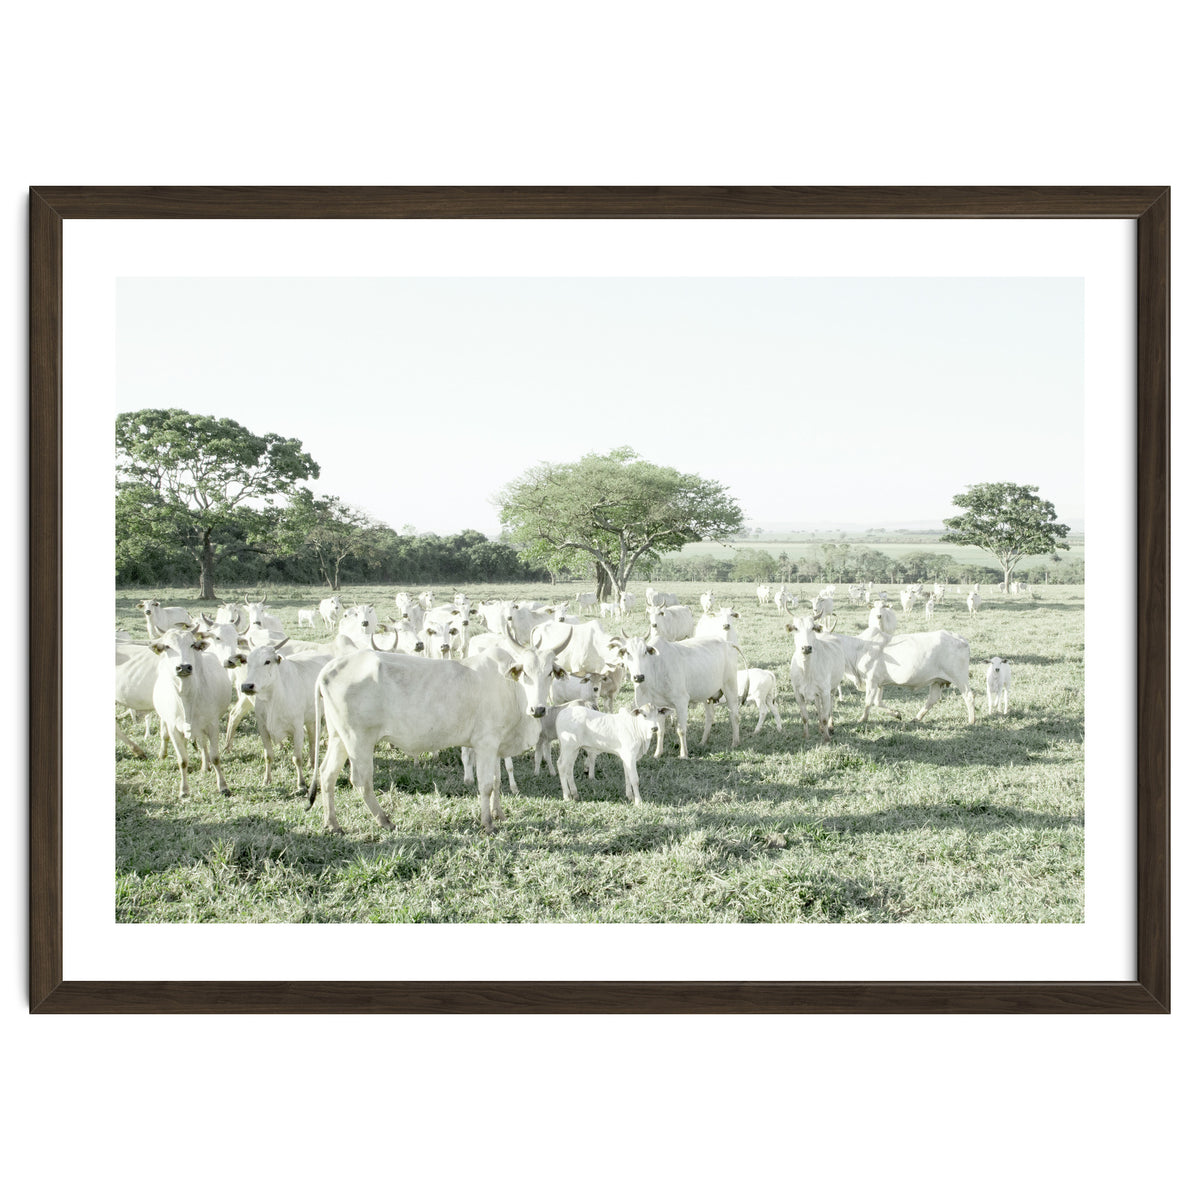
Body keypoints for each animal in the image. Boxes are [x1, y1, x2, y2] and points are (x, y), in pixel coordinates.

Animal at [149, 625, 233, 798]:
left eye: (192, 645)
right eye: (167, 646)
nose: (184, 667)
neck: (187, 698)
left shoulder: (212, 725)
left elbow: (215, 757)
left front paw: (223, 786)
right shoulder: (174, 728)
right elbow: (182, 760)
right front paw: (184, 790)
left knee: (202, 744)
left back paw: (205, 765)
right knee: (167, 735)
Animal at [239, 640, 332, 790]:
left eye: (267, 661)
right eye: (248, 662)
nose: (247, 686)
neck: (273, 699)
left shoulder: (297, 729)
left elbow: (297, 758)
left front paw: (301, 784)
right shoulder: (263, 729)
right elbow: (268, 756)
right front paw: (266, 780)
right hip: (310, 719)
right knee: (312, 738)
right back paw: (311, 763)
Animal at [307, 623, 573, 833]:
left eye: (550, 673)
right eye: (525, 673)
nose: (538, 709)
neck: (510, 689)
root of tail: (332, 667)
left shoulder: (496, 745)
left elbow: (497, 781)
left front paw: (499, 814)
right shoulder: (485, 744)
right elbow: (486, 785)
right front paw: (487, 823)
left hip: (339, 737)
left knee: (327, 774)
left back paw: (332, 823)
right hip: (358, 740)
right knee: (361, 780)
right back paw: (384, 820)